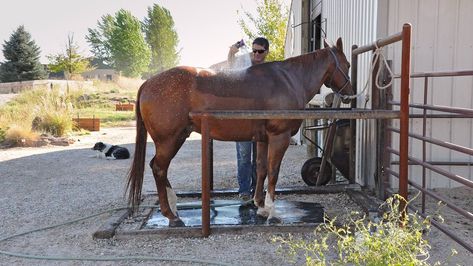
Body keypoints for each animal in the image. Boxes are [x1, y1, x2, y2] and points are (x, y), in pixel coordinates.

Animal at [127, 38, 352, 227]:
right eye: (348, 64)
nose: (349, 94)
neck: (289, 79)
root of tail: (148, 83)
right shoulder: (279, 137)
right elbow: (273, 172)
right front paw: (272, 212)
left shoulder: (262, 139)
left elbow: (261, 169)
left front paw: (260, 206)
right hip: (169, 140)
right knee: (159, 168)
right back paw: (171, 215)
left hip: (178, 137)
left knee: (159, 168)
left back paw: (173, 208)